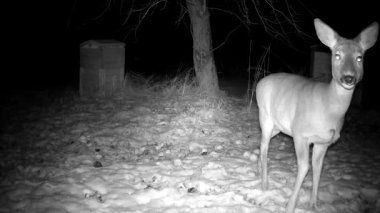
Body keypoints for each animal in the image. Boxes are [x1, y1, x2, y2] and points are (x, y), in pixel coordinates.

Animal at [255, 18, 378, 213]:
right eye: (337, 55)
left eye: (360, 57)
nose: (349, 78)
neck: (328, 109)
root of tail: (260, 82)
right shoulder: (300, 133)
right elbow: (304, 167)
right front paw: (290, 206)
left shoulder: (324, 142)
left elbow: (318, 168)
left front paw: (314, 204)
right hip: (265, 116)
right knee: (265, 147)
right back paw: (265, 185)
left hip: (278, 126)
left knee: (261, 145)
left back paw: (260, 176)